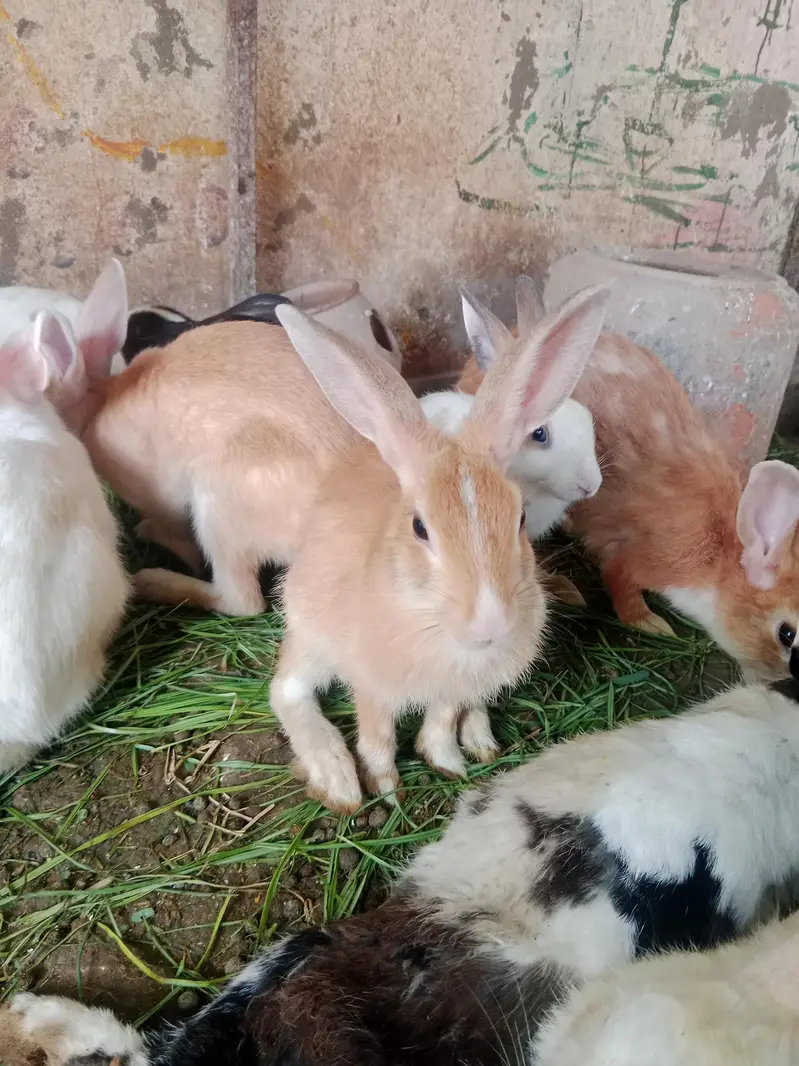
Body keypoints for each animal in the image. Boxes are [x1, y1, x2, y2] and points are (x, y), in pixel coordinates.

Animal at [79, 285, 609, 810]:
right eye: (420, 528)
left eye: (518, 518)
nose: (491, 623)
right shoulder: (371, 683)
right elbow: (377, 736)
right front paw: (388, 789)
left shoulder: (450, 689)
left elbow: (439, 723)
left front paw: (449, 764)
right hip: (229, 527)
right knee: (271, 661)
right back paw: (336, 776)